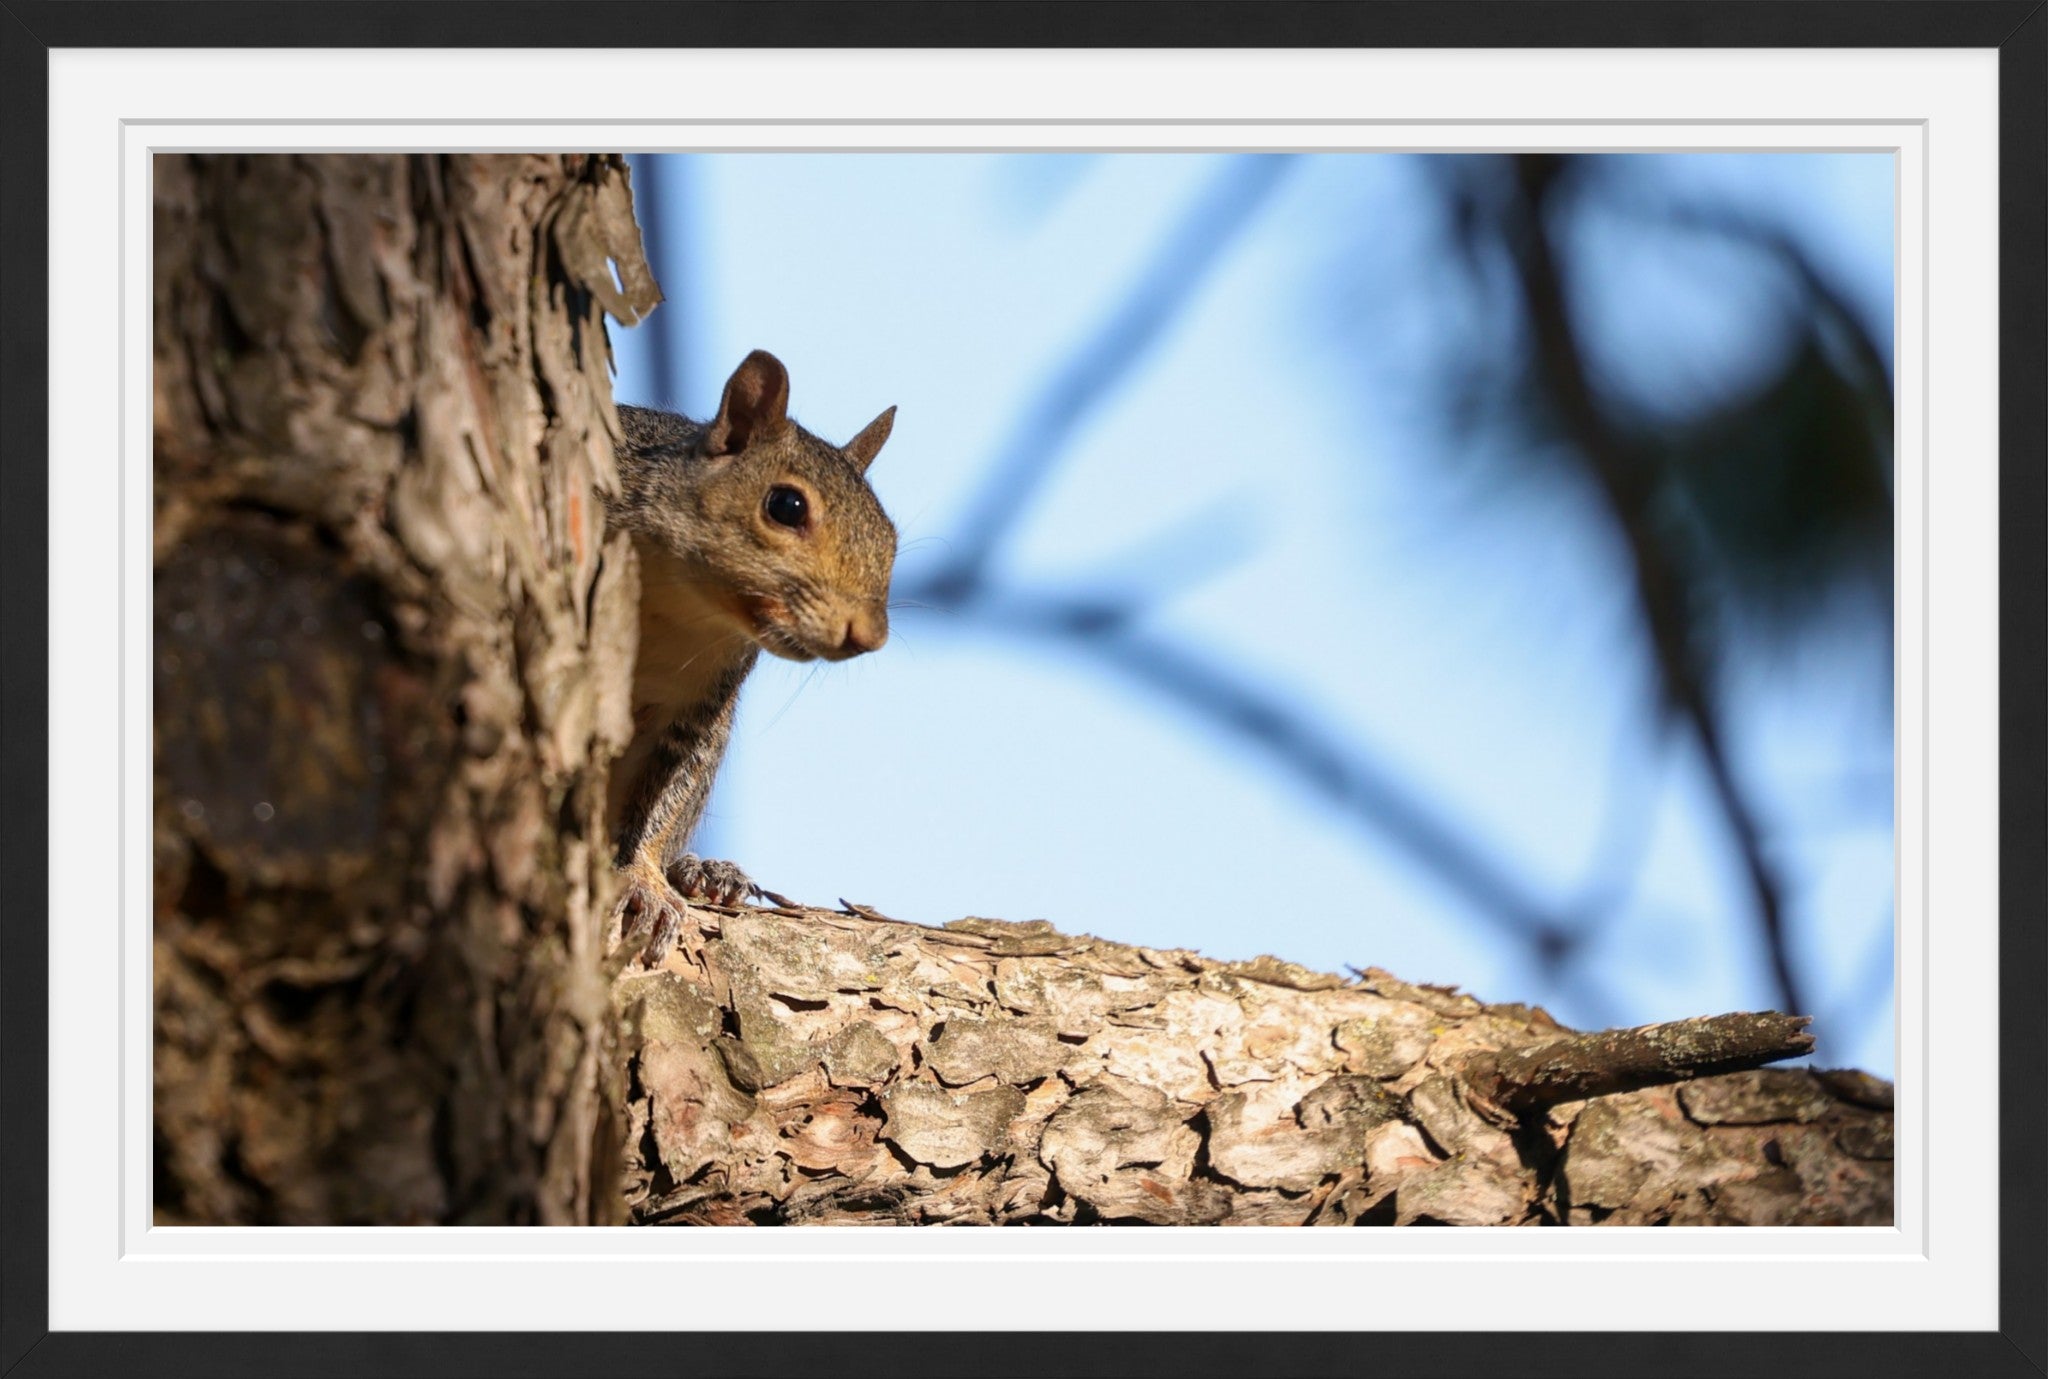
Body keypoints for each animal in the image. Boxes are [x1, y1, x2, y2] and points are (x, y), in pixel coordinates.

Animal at [604, 349, 898, 965]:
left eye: (890, 536)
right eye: (786, 505)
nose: (869, 635)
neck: (681, 597)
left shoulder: (699, 703)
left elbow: (662, 798)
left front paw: (643, 879)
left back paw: (703, 872)